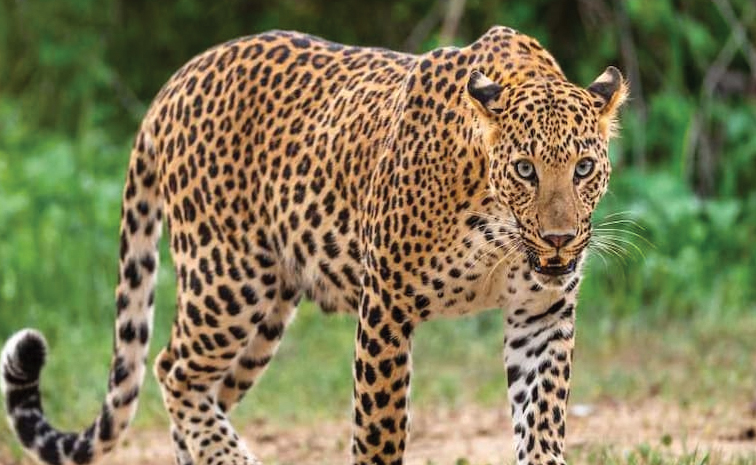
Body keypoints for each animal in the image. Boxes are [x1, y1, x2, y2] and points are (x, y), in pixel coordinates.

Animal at [1, 25, 627, 465]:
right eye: (524, 169)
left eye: (584, 167)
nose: (558, 239)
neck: (498, 229)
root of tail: (173, 84)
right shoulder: (386, 307)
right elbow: (378, 432)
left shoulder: (542, 315)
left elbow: (541, 426)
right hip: (226, 280)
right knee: (172, 370)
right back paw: (239, 459)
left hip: (267, 312)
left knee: (203, 396)